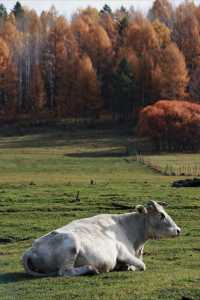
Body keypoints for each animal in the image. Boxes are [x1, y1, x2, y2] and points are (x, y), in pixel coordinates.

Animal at [22, 202, 180, 276]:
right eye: (161, 215)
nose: (178, 230)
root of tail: (31, 248)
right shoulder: (122, 252)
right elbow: (141, 265)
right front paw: (129, 267)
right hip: (71, 245)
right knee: (65, 272)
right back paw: (92, 269)